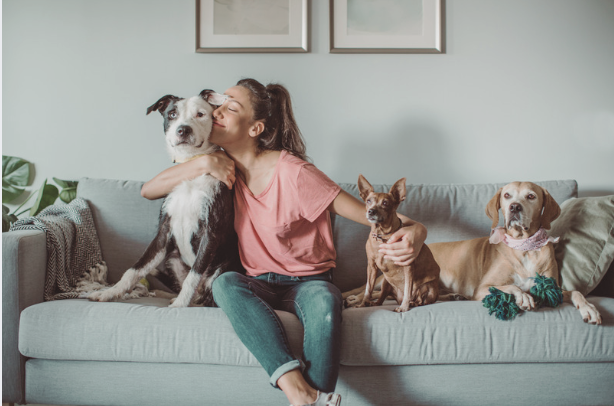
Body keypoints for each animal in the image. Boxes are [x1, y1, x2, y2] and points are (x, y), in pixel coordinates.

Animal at [89, 89, 243, 308]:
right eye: (172, 114)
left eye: (200, 114)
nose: (183, 130)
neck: (190, 168)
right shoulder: (163, 232)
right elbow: (135, 269)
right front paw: (111, 292)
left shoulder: (210, 232)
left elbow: (193, 276)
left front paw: (179, 305)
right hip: (172, 258)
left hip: (222, 268)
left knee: (207, 298)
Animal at [348, 182, 604, 326]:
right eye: (507, 196)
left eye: (531, 196)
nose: (515, 207)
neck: (523, 247)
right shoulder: (483, 288)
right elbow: (510, 286)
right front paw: (522, 296)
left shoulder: (554, 288)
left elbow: (577, 292)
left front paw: (590, 309)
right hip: (383, 279)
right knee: (370, 291)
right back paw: (356, 299)